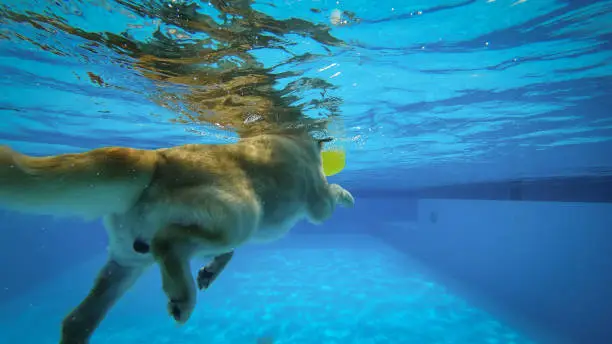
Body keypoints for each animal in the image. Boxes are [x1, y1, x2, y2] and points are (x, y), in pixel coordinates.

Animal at [0, 130, 354, 342]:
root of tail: (157, 157)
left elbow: (229, 253)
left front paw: (209, 271)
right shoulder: (318, 202)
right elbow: (331, 195)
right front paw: (347, 195)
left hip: (127, 260)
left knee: (77, 318)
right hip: (242, 213)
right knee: (168, 242)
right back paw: (183, 298)